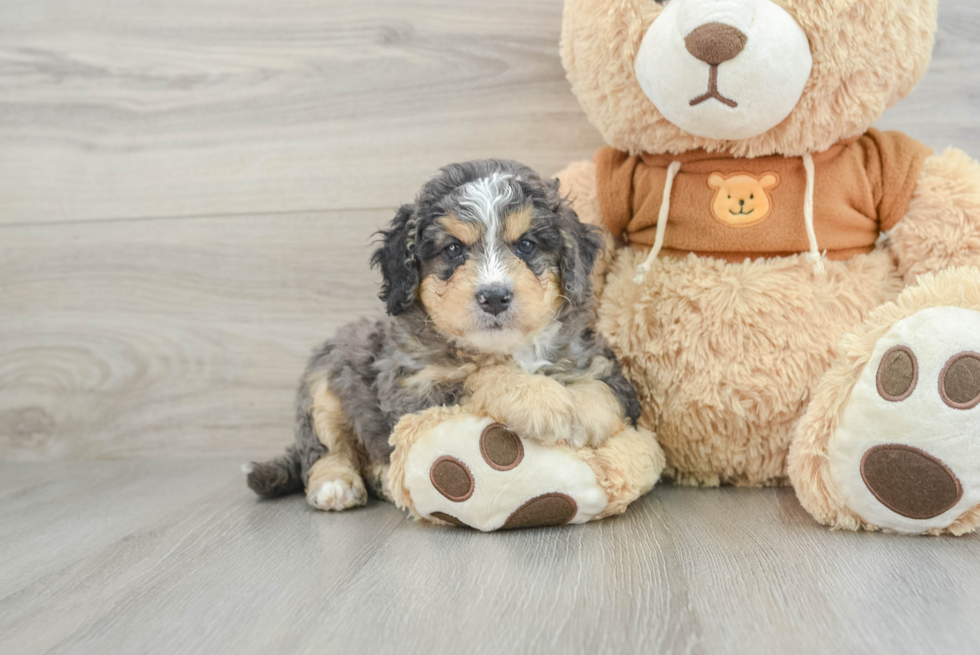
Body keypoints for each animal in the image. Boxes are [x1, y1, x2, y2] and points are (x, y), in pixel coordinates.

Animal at [245, 160, 644, 512]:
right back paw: (337, 484)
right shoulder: (413, 391)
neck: (506, 349)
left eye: (526, 245)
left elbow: (604, 389)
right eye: (453, 249)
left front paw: (585, 412)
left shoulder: (595, 358)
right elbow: (479, 376)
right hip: (323, 383)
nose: (494, 296)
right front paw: (542, 400)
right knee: (325, 448)